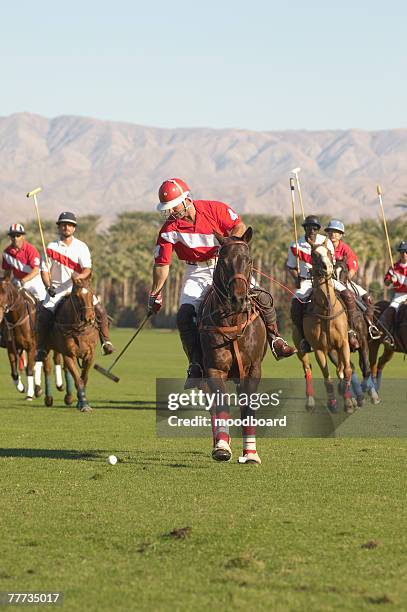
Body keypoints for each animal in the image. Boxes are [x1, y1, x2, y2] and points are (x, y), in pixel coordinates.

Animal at [199, 230, 270, 464]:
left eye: (249, 260)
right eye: (223, 261)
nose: (238, 299)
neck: (233, 320)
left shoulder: (253, 369)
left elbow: (248, 407)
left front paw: (251, 453)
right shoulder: (214, 369)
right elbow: (221, 404)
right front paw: (221, 447)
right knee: (212, 406)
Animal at [302, 239, 356, 412]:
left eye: (329, 252)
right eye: (313, 254)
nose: (327, 268)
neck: (326, 309)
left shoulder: (343, 344)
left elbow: (347, 370)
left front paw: (348, 402)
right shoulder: (319, 348)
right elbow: (327, 377)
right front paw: (332, 403)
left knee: (341, 369)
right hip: (302, 348)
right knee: (307, 369)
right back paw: (310, 402)